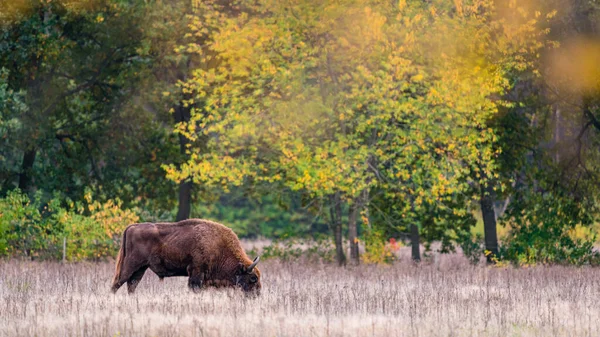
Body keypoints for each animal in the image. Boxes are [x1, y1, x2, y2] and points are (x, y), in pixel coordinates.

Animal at [111, 218, 262, 294]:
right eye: (253, 278)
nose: (257, 294)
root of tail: (132, 226)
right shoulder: (196, 272)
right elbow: (194, 288)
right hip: (130, 265)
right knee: (117, 283)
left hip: (141, 268)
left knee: (132, 284)